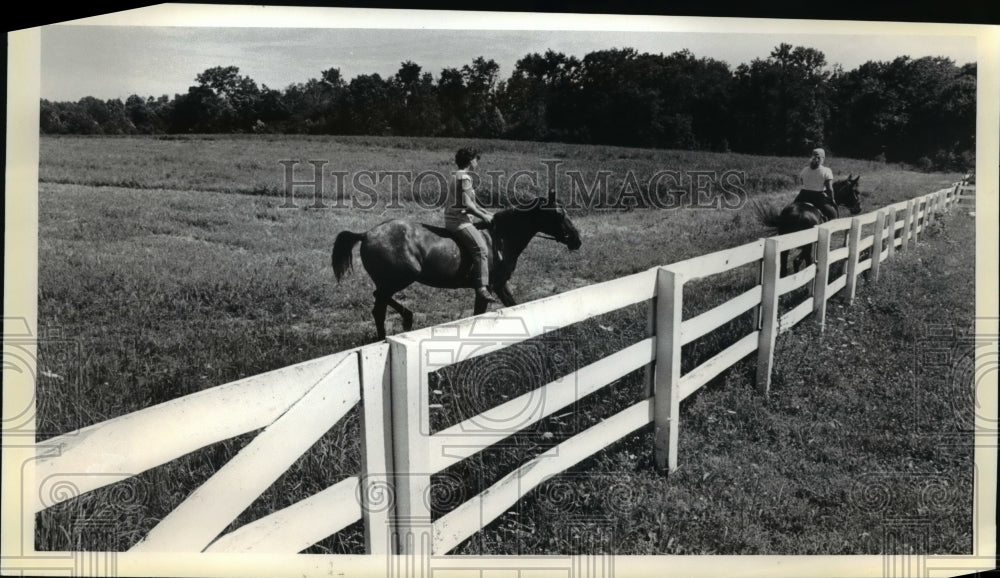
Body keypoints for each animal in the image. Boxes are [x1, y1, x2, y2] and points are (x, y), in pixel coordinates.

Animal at [332, 190, 584, 338]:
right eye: (559, 214)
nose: (577, 240)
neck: (501, 239)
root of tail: (367, 234)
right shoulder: (487, 288)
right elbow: (479, 314)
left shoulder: (501, 285)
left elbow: (514, 305)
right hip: (400, 278)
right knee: (378, 308)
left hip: (392, 281)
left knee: (379, 299)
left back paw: (407, 318)